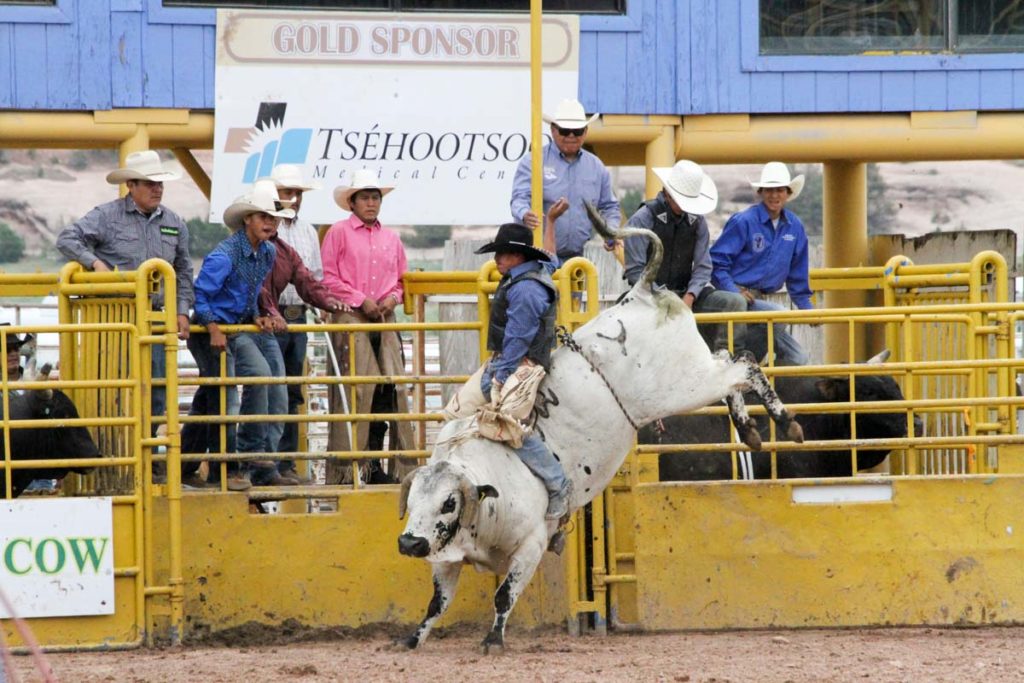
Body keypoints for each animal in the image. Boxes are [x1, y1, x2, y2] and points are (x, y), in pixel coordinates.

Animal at [395, 202, 802, 651]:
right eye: (413, 498)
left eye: (449, 502)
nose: (409, 542)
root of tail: (642, 292)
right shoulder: (445, 557)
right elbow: (437, 602)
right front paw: (413, 638)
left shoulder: (531, 544)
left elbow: (504, 594)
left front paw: (493, 639)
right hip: (696, 375)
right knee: (731, 364)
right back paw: (750, 430)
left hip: (683, 387)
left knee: (743, 365)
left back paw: (785, 422)